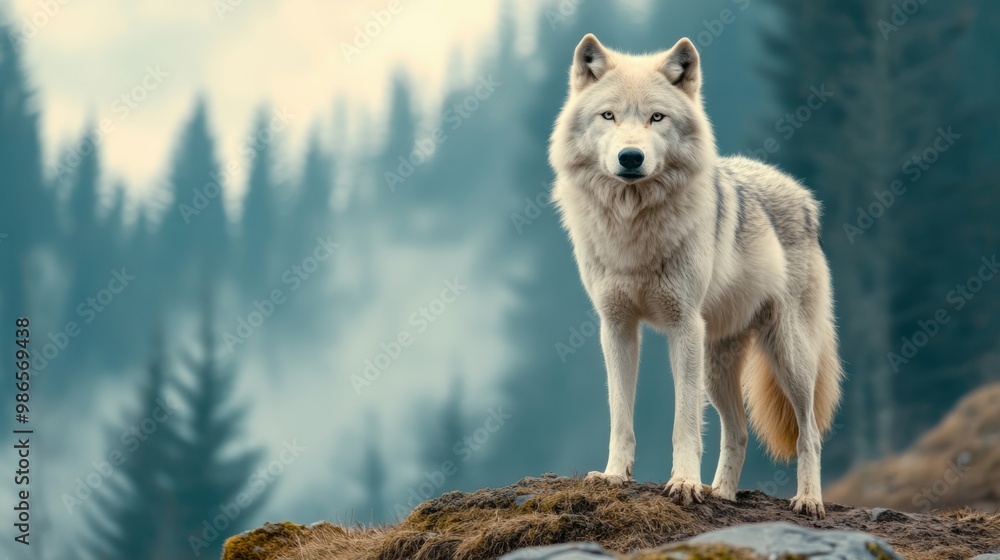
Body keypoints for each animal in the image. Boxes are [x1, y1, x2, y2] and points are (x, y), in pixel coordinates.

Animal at [549, 34, 843, 518]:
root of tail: (803, 196)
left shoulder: (683, 326)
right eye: (608, 115)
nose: (631, 157)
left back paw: (808, 500)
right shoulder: (617, 326)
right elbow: (620, 413)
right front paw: (613, 476)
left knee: (810, 434)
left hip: (788, 357)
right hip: (716, 364)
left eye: (656, 117)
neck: (634, 231)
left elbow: (684, 421)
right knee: (738, 431)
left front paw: (684, 482)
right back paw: (721, 493)